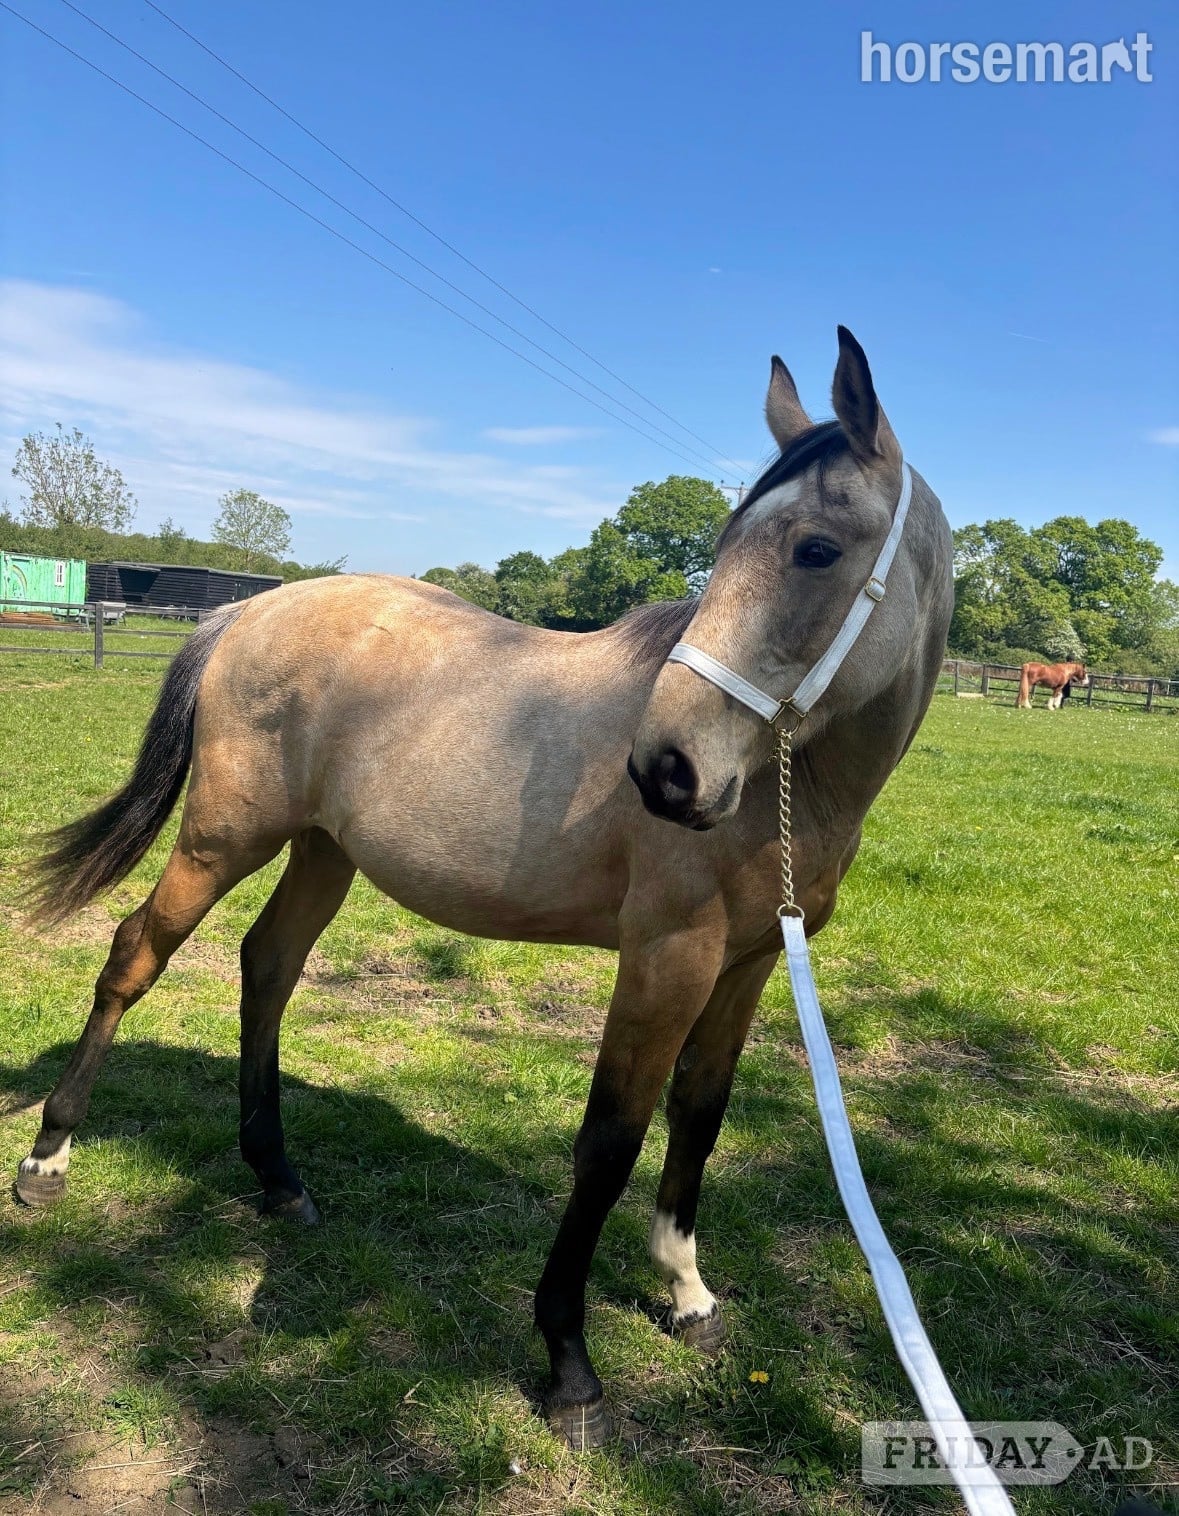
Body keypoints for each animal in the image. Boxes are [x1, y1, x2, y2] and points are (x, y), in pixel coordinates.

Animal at [16, 327, 953, 1448]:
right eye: (727, 546)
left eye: (815, 549)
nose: (666, 771)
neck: (789, 787)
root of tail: (250, 607)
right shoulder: (665, 960)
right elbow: (610, 1139)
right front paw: (568, 1360)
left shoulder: (750, 964)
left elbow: (700, 1111)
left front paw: (686, 1292)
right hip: (223, 836)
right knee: (135, 954)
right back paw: (48, 1157)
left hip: (323, 850)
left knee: (267, 968)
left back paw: (279, 1181)